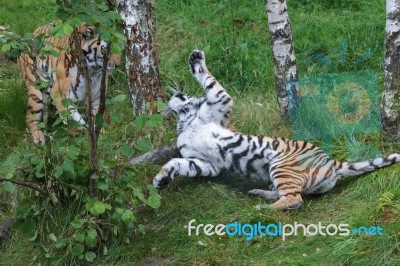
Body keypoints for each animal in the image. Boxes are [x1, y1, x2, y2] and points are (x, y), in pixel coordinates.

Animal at [153, 50, 400, 210]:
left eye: (186, 94)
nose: (177, 93)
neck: (187, 120)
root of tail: (333, 162)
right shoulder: (206, 163)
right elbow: (175, 163)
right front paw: (161, 180)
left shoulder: (221, 101)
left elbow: (209, 81)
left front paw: (196, 59)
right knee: (290, 195)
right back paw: (259, 195)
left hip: (281, 166)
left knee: (295, 200)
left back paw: (261, 210)